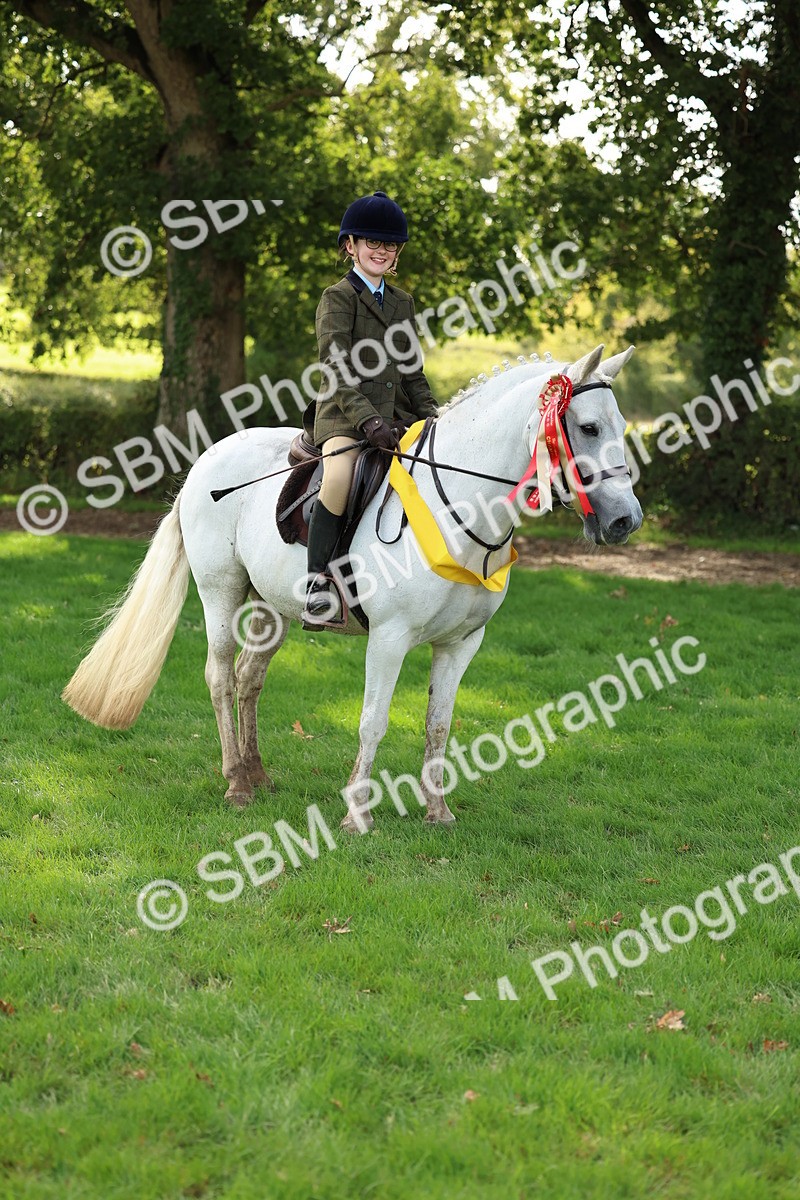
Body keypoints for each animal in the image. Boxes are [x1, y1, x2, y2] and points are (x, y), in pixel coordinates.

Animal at [63, 344, 642, 832]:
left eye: (619, 426)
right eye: (588, 427)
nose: (625, 521)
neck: (458, 507)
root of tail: (206, 461)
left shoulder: (461, 644)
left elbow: (438, 724)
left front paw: (438, 812)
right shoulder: (389, 638)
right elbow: (373, 722)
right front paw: (356, 816)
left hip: (273, 606)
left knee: (250, 677)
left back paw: (258, 774)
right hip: (220, 592)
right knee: (221, 676)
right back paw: (236, 784)